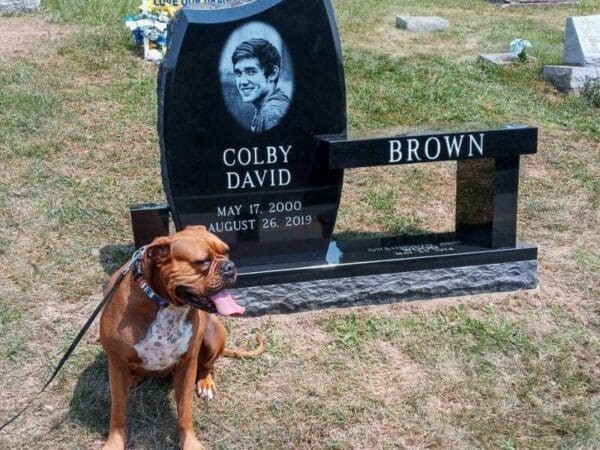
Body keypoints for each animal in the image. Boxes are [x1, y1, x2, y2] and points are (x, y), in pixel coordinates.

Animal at [99, 227, 260, 448]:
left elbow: (185, 411)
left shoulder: (187, 365)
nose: (230, 266)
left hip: (214, 335)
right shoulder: (116, 363)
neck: (165, 304)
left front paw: (190, 442)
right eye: (203, 261)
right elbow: (117, 412)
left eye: (226, 252)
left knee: (207, 365)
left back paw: (205, 383)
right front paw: (114, 442)